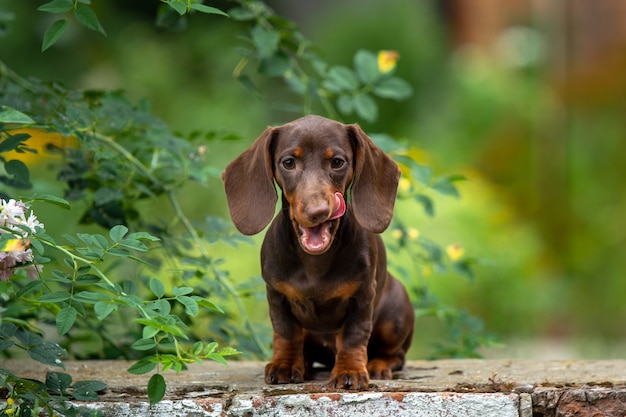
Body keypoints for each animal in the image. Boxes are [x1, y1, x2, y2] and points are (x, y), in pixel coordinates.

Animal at [222, 114, 412, 390]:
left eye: (338, 162)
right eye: (288, 162)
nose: (318, 211)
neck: (315, 263)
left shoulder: (363, 297)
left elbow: (354, 336)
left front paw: (350, 370)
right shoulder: (277, 295)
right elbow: (286, 332)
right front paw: (285, 364)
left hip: (394, 316)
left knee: (395, 354)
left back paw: (378, 365)